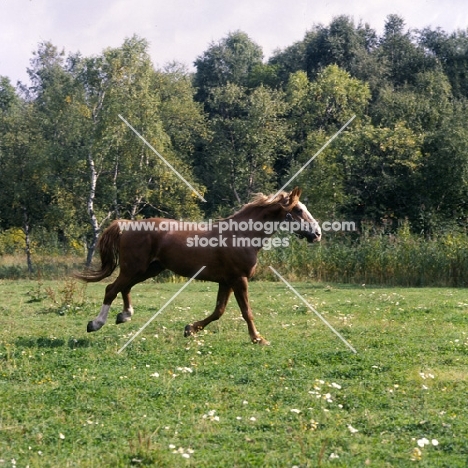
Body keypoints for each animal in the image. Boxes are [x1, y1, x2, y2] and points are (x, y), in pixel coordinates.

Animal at [77, 188, 322, 346]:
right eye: (298, 210)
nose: (317, 234)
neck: (242, 236)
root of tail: (127, 225)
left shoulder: (226, 281)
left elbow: (218, 311)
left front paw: (190, 329)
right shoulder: (239, 279)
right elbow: (246, 312)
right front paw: (258, 339)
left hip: (149, 269)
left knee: (124, 288)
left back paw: (125, 315)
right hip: (134, 268)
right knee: (111, 289)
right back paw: (96, 323)